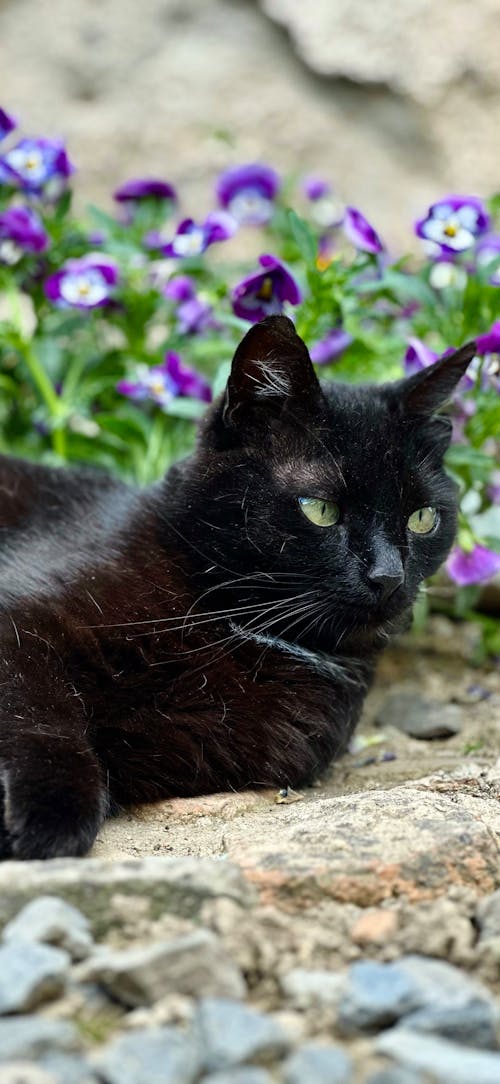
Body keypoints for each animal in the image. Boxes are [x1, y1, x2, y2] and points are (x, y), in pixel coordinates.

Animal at [0, 316, 470, 858]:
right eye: (320, 509)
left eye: (422, 518)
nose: (389, 576)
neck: (219, 614)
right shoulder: (21, 619)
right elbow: (43, 716)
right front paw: (47, 822)